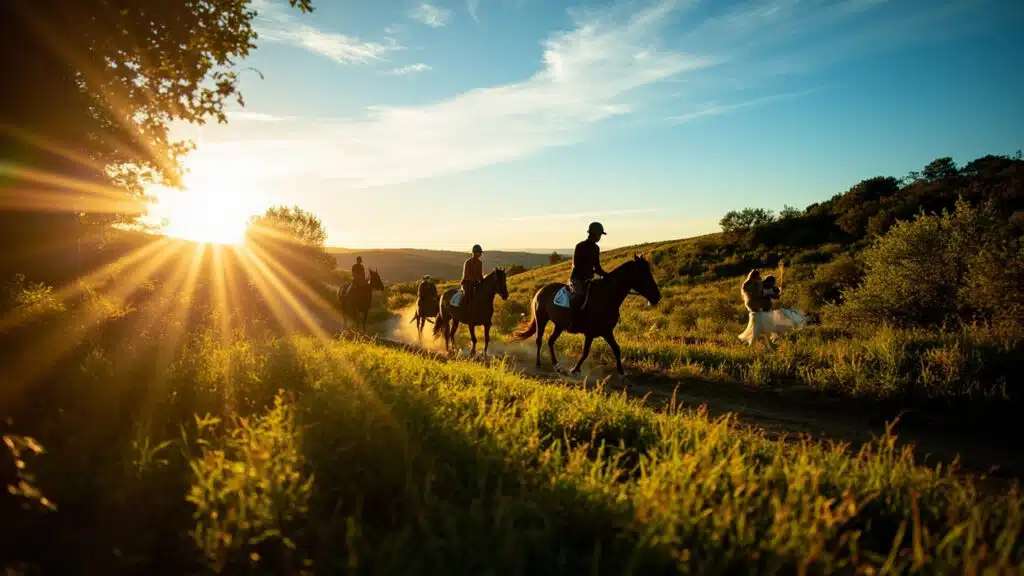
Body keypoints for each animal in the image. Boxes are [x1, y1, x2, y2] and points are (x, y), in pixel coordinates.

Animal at [512, 254, 661, 375]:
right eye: (643, 273)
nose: (657, 297)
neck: (607, 296)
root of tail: (540, 291)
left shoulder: (606, 331)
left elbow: (616, 349)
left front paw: (621, 372)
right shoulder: (590, 333)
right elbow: (585, 352)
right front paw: (575, 369)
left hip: (559, 325)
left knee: (550, 341)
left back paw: (557, 366)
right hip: (542, 320)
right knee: (539, 340)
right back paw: (538, 364)